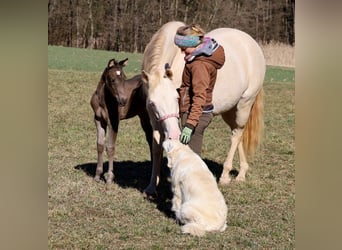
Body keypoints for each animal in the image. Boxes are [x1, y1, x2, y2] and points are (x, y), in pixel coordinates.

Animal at [141, 21, 264, 197]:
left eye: (176, 98)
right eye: (152, 103)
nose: (173, 134)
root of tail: (252, 44)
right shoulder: (156, 120)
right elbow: (156, 148)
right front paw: (152, 187)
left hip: (244, 104)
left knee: (236, 135)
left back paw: (225, 176)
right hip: (230, 110)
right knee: (238, 134)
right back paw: (241, 173)